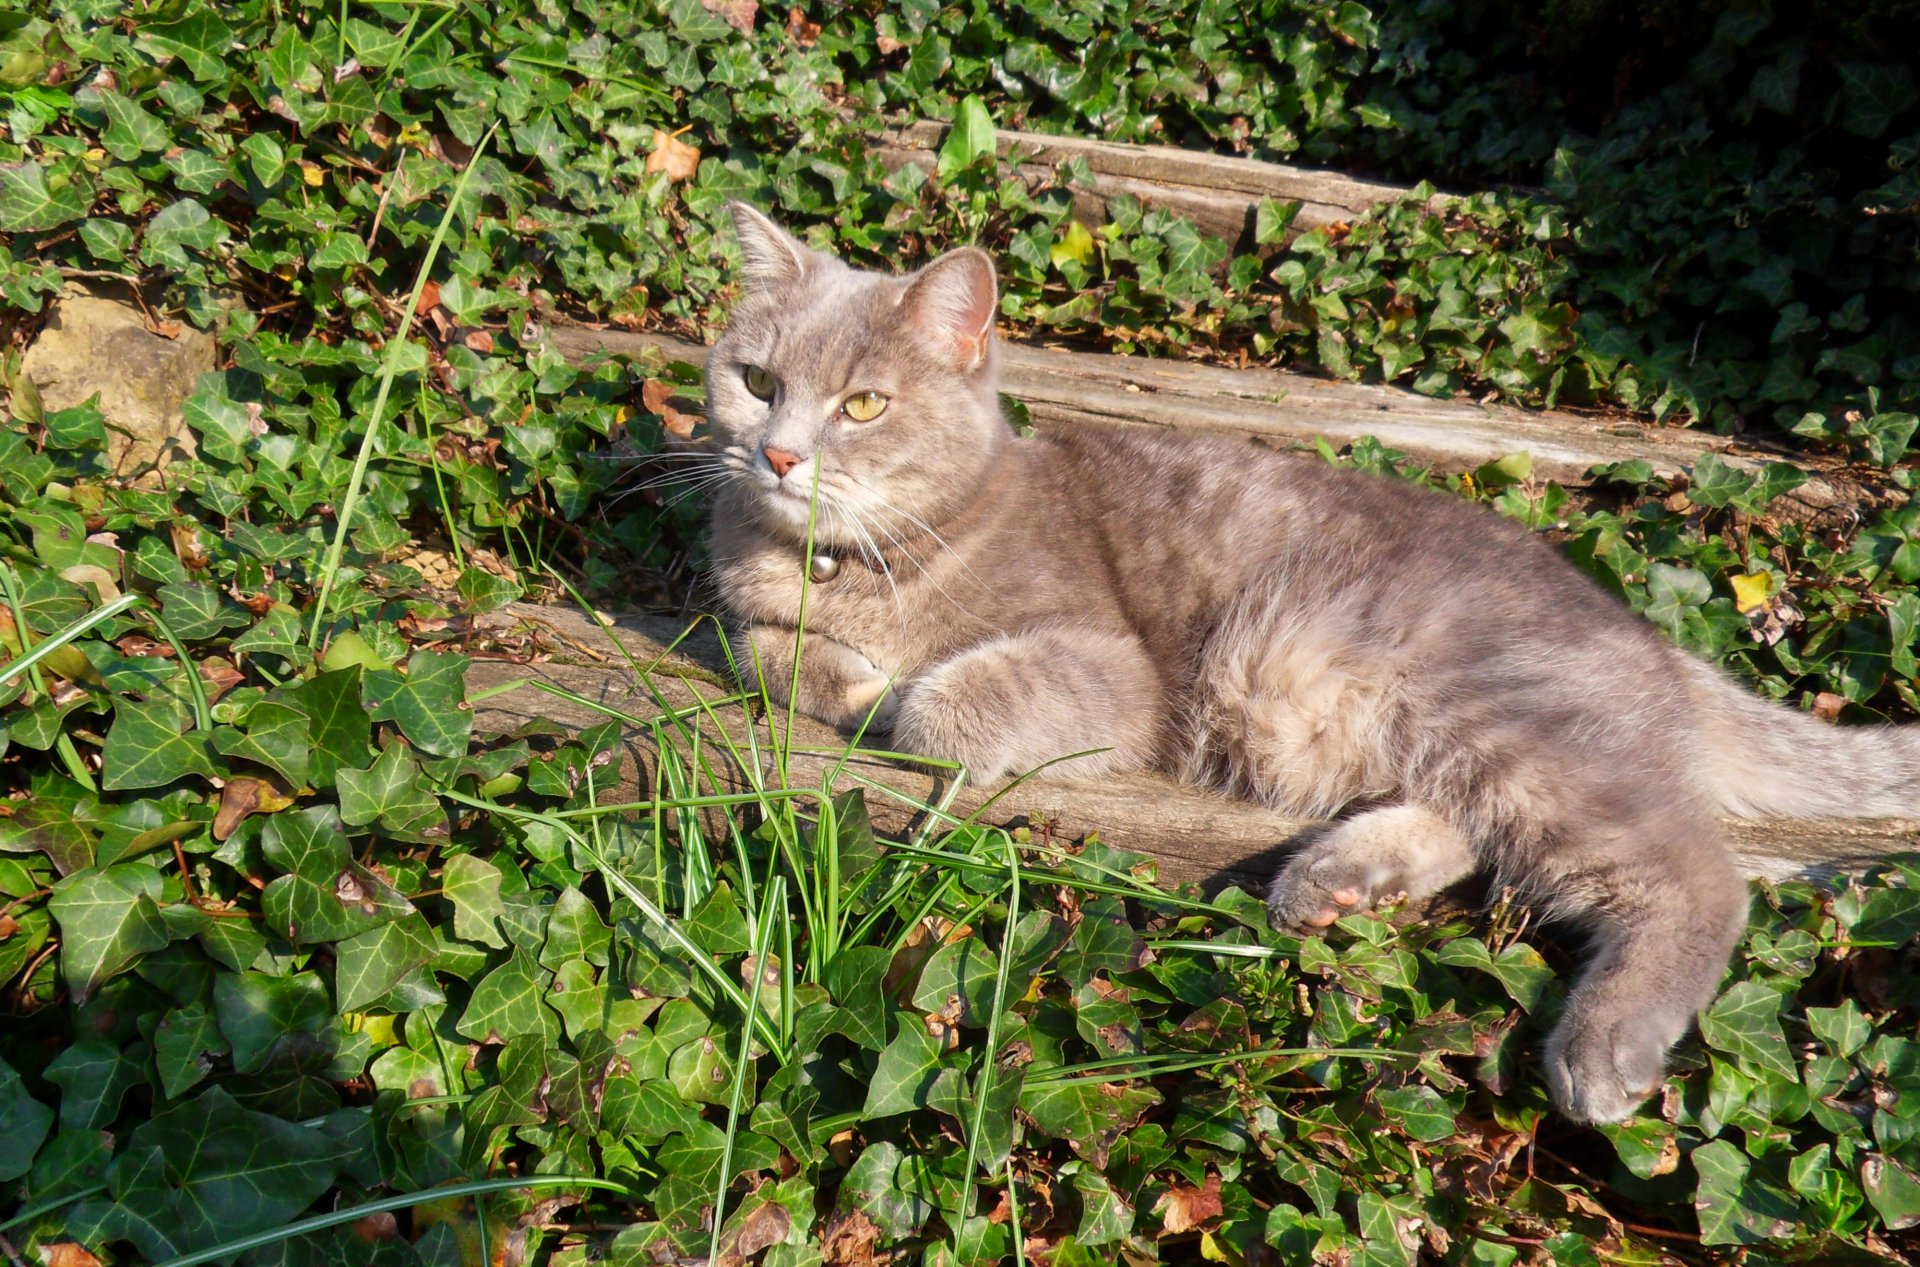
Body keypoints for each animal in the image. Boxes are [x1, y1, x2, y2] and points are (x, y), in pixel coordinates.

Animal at [698, 202, 1912, 1121]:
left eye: (864, 403)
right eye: (755, 380)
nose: (779, 453)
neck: (848, 564)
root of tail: (1653, 639)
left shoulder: (1111, 670)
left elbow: (950, 696)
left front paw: (893, 696)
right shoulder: (751, 613)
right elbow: (761, 647)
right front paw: (842, 672)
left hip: (1492, 716)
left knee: (1693, 872)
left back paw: (1602, 1046)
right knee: (1472, 832)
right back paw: (1336, 882)